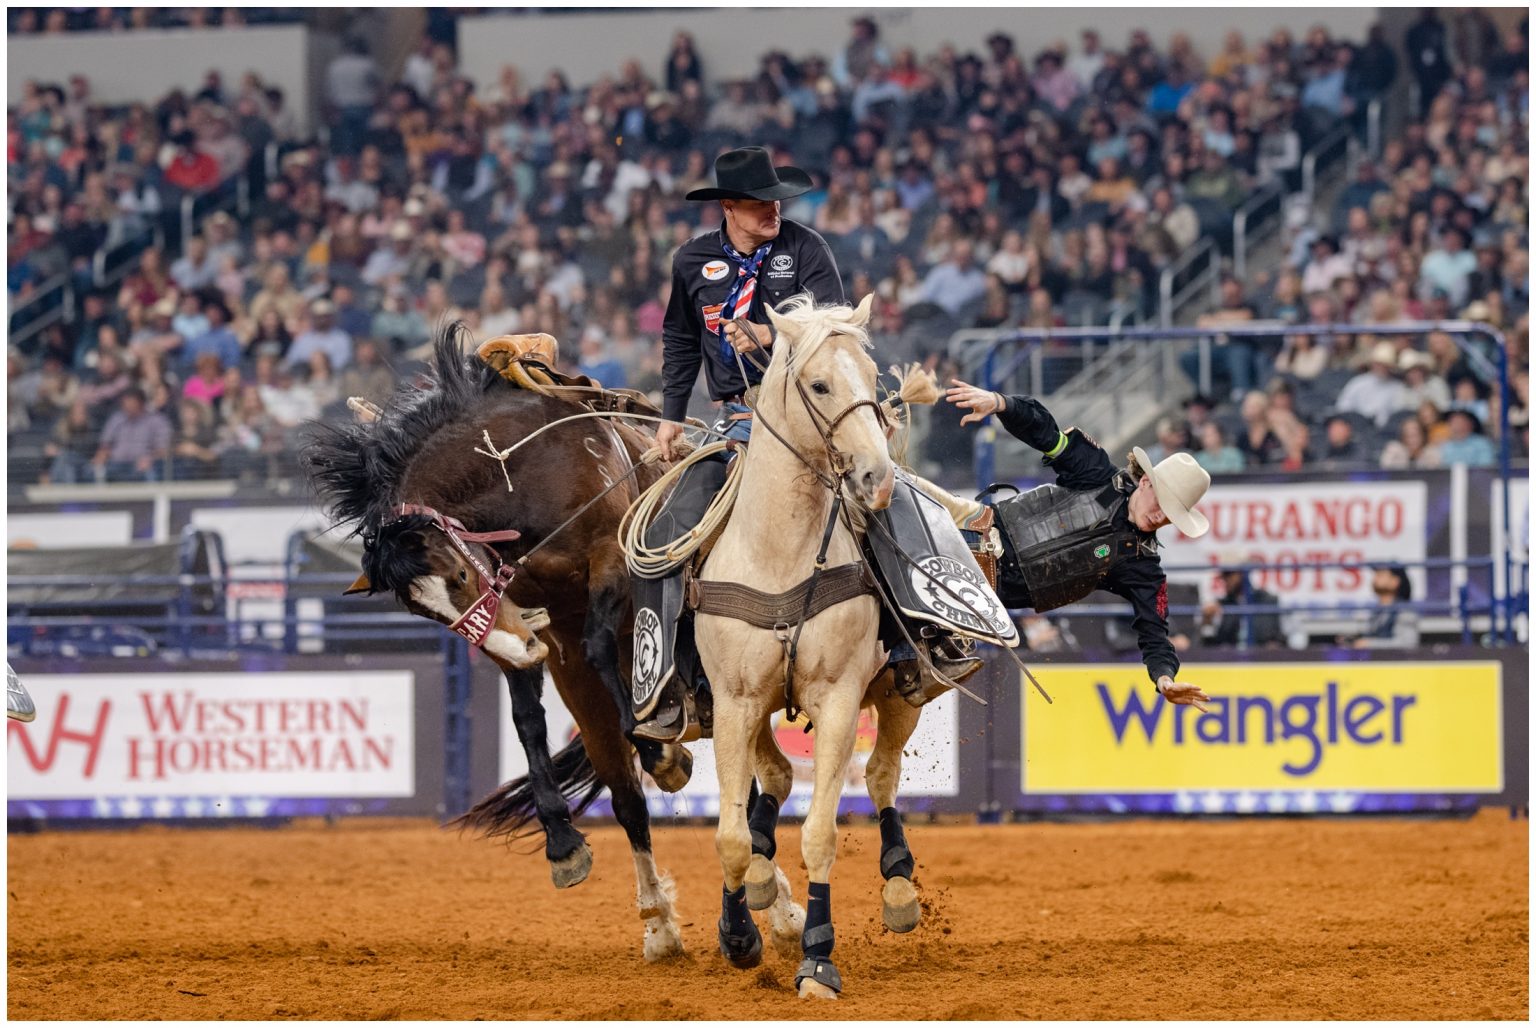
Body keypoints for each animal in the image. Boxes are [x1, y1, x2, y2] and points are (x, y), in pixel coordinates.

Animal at [691, 291, 903, 995]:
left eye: (873, 377)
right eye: (819, 384)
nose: (878, 477)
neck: (781, 555)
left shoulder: (838, 701)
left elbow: (819, 836)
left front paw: (817, 957)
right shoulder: (733, 703)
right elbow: (730, 835)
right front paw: (737, 936)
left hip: (901, 691)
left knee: (883, 775)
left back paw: (899, 886)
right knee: (776, 780)